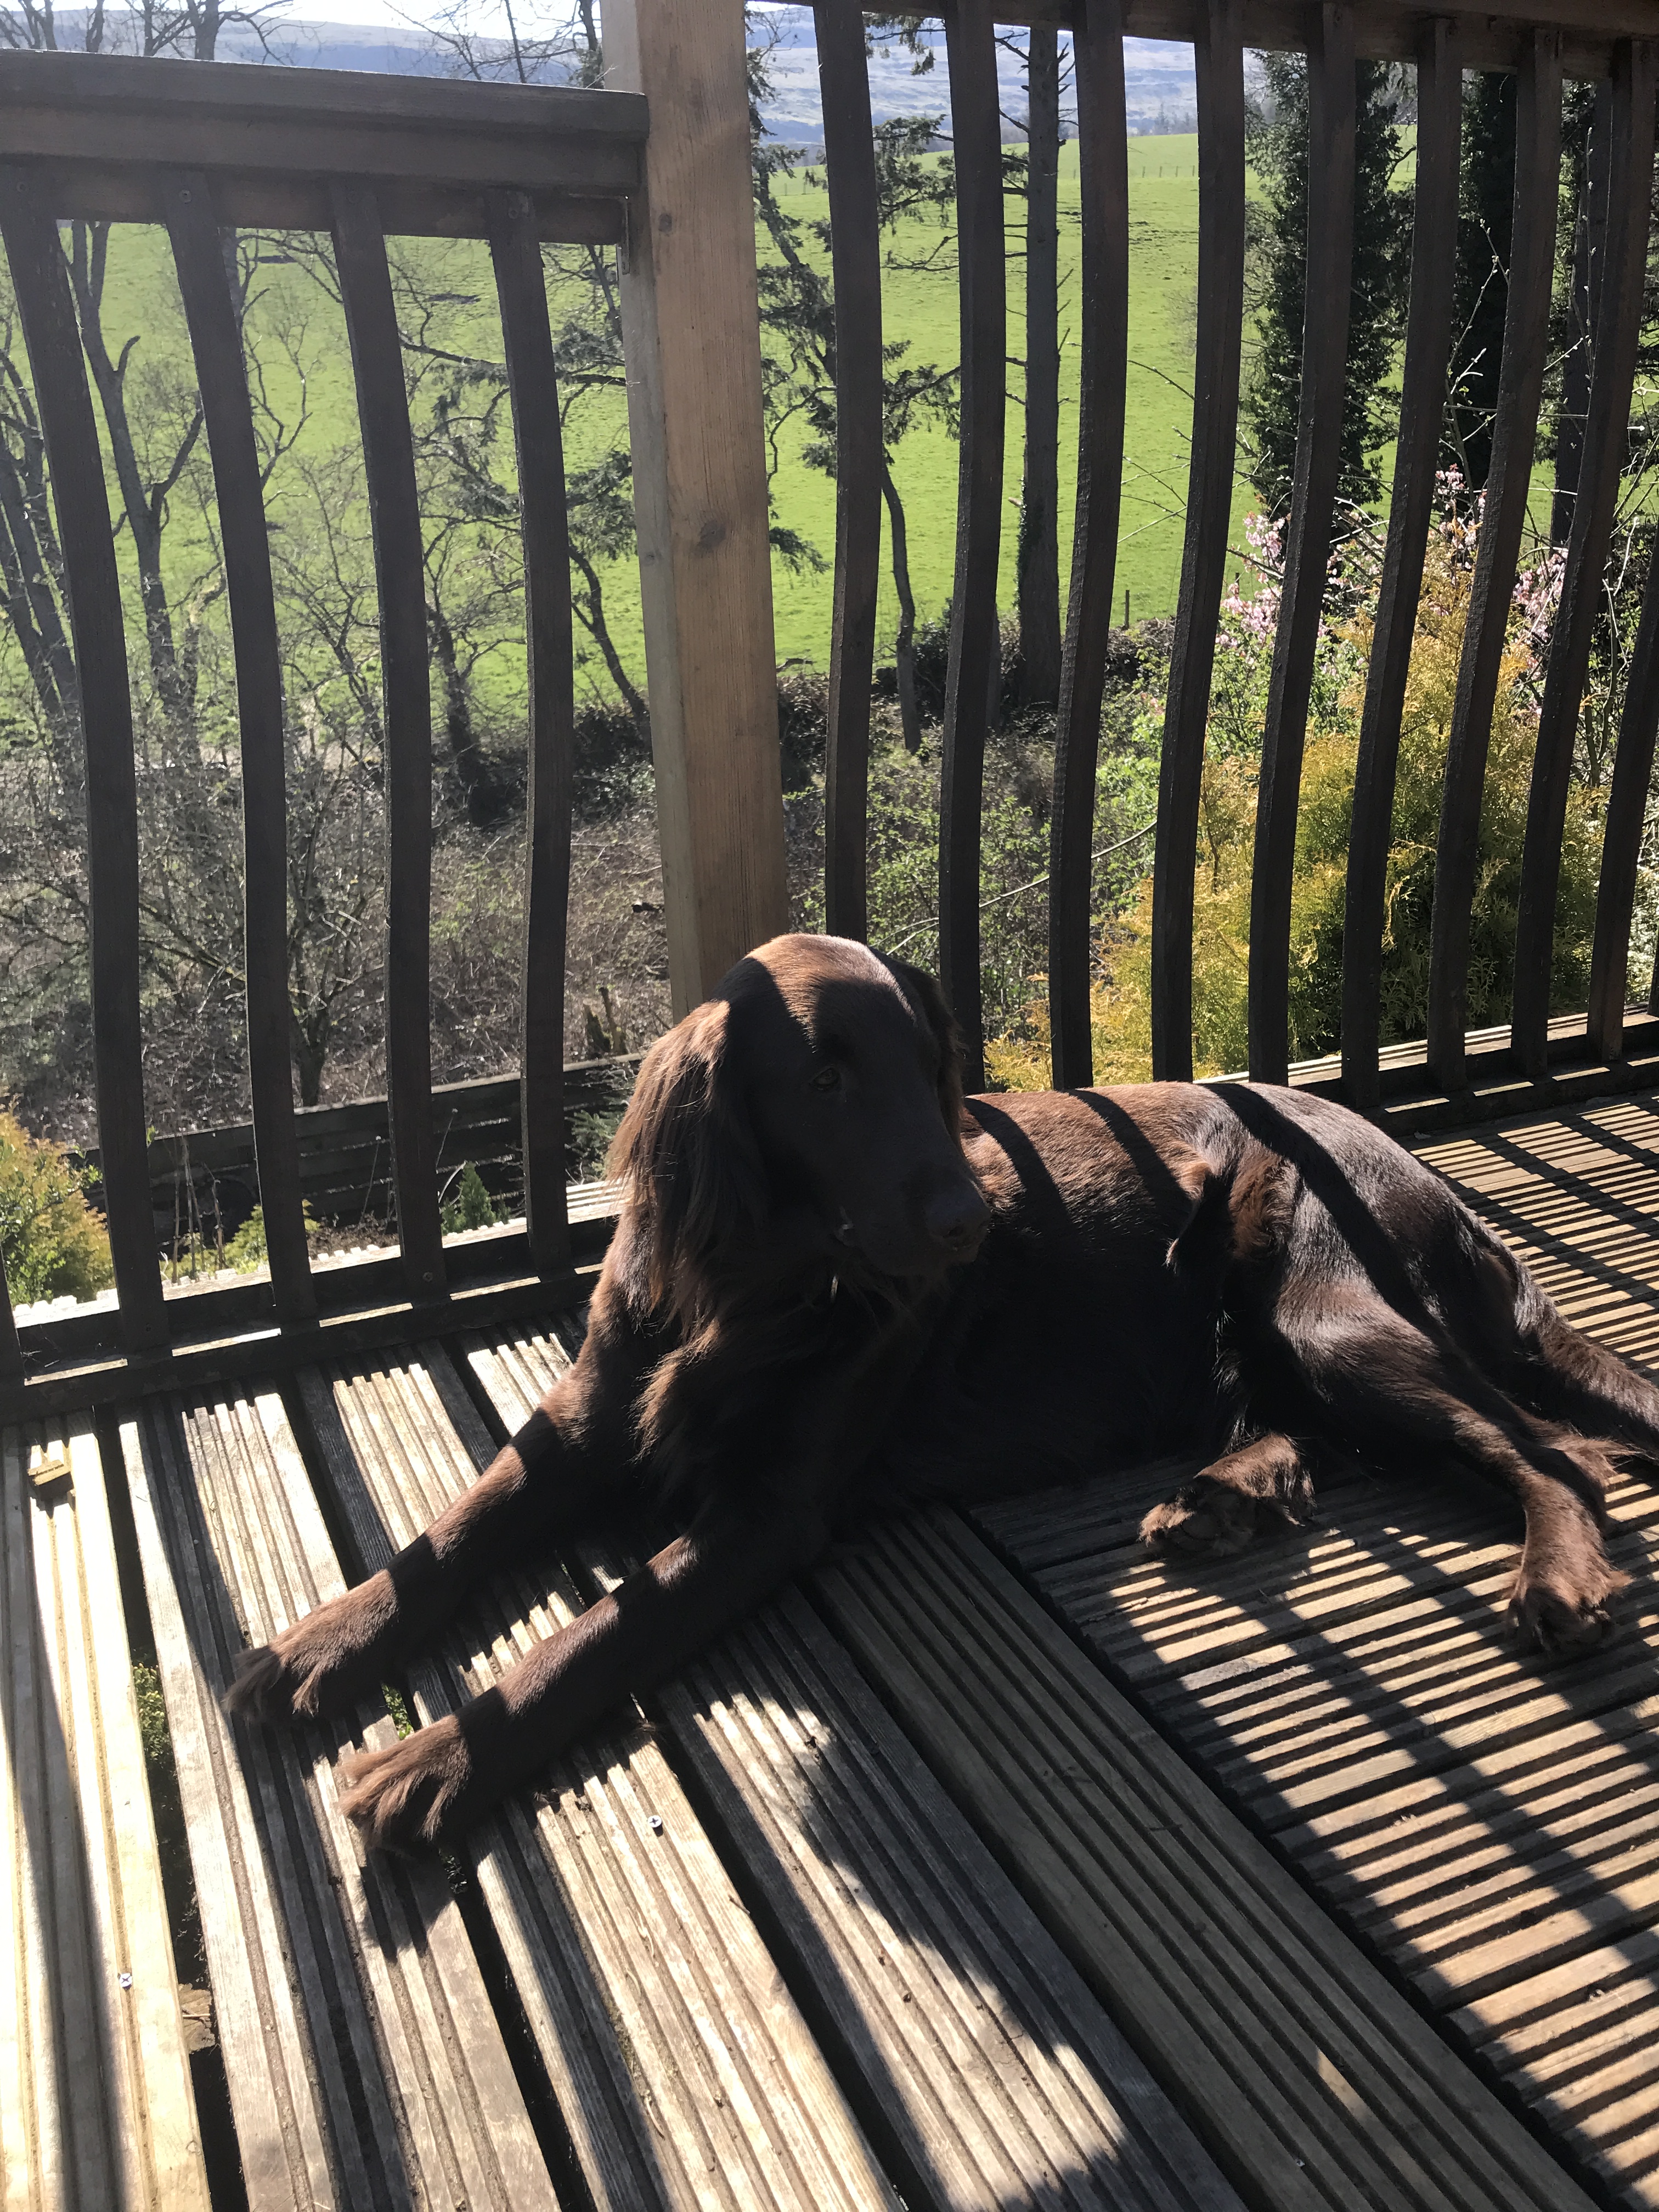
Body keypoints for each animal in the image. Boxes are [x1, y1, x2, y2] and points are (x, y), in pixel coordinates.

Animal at [228, 932, 1657, 1850]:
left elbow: (596, 1635)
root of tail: (1433, 1175)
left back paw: (1557, 1579)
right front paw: (322, 1640)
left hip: (1326, 1303)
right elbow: (459, 1529)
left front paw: (432, 1760)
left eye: (931, 1071)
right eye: (824, 1079)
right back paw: (1223, 1498)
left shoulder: (768, 1515)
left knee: (1555, 1454)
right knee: (1315, 1429)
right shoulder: (586, 1417)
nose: (971, 1222)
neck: (755, 1289)